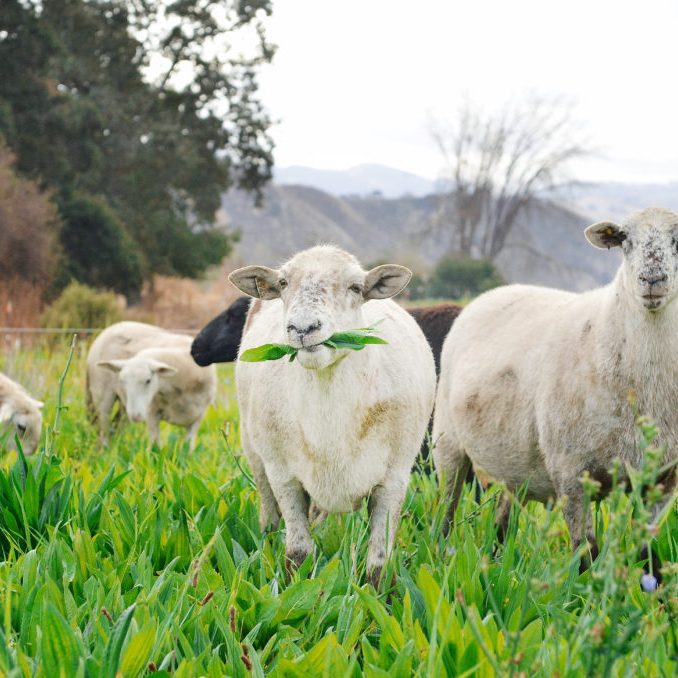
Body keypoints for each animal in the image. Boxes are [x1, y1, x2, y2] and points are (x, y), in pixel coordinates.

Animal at [231, 245, 436, 583]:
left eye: (355, 287)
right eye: (284, 283)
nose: (302, 329)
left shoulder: (394, 477)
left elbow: (379, 564)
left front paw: (376, 597)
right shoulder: (284, 475)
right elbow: (298, 553)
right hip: (256, 455)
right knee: (270, 517)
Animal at [433, 208, 678, 577]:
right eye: (625, 240)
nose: (652, 280)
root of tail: (494, 293)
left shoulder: (662, 477)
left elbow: (645, 551)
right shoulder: (570, 470)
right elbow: (586, 552)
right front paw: (586, 592)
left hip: (515, 460)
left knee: (504, 511)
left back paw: (496, 557)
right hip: (447, 441)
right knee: (446, 509)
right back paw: (439, 553)